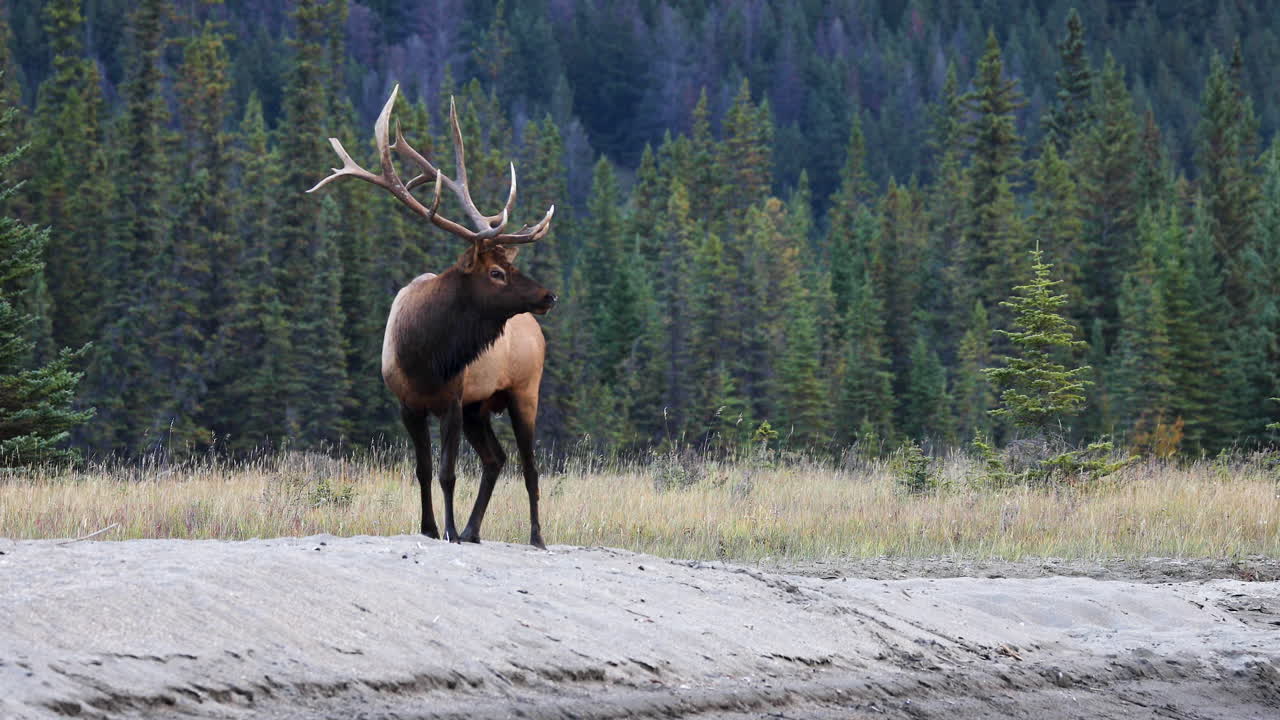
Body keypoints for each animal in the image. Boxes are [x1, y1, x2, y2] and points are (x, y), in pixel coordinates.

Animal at [308, 85, 557, 548]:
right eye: (496, 272)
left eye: (508, 266)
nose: (549, 295)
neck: (424, 355)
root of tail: (537, 332)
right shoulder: (410, 404)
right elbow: (423, 470)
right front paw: (429, 527)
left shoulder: (453, 401)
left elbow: (447, 473)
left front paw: (450, 531)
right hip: (482, 407)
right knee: (496, 459)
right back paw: (476, 529)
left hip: (523, 391)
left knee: (529, 465)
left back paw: (535, 536)